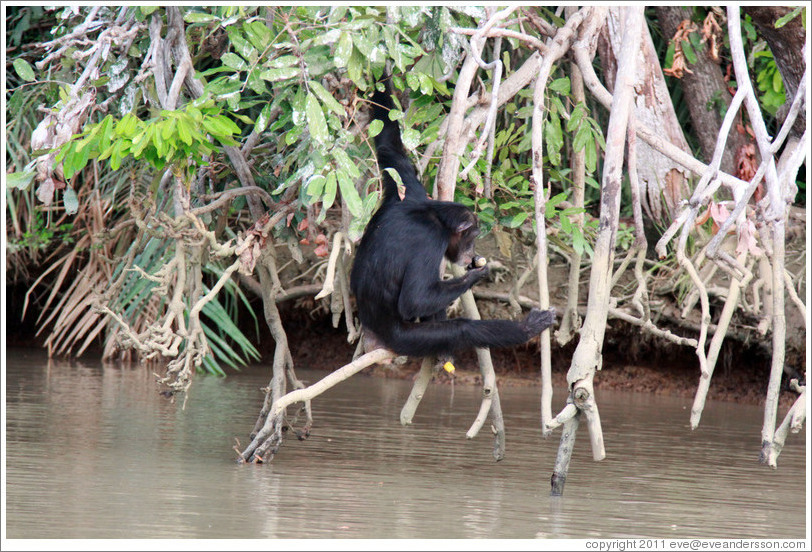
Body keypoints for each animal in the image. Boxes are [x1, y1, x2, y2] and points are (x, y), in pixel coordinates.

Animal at [350, 78, 560, 358]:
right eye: (471, 237)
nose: (471, 251)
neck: (435, 216)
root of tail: (371, 332)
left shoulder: (407, 189)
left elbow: (388, 142)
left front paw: (382, 76)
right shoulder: (430, 240)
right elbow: (415, 299)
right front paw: (477, 274)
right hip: (403, 338)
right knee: (462, 329)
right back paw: (526, 328)